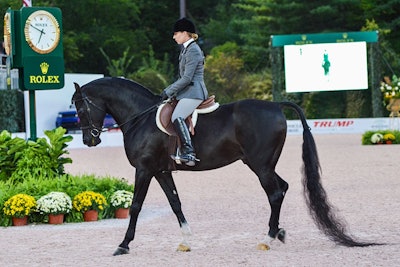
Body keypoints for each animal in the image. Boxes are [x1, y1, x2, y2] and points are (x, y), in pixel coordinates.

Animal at [72, 76, 378, 256]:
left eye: (81, 107)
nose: (89, 139)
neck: (140, 117)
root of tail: (276, 105)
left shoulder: (145, 170)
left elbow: (135, 206)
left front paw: (123, 245)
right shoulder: (161, 171)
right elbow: (175, 203)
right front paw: (186, 241)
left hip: (259, 165)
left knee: (275, 193)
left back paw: (267, 238)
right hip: (263, 164)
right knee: (283, 188)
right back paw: (277, 232)